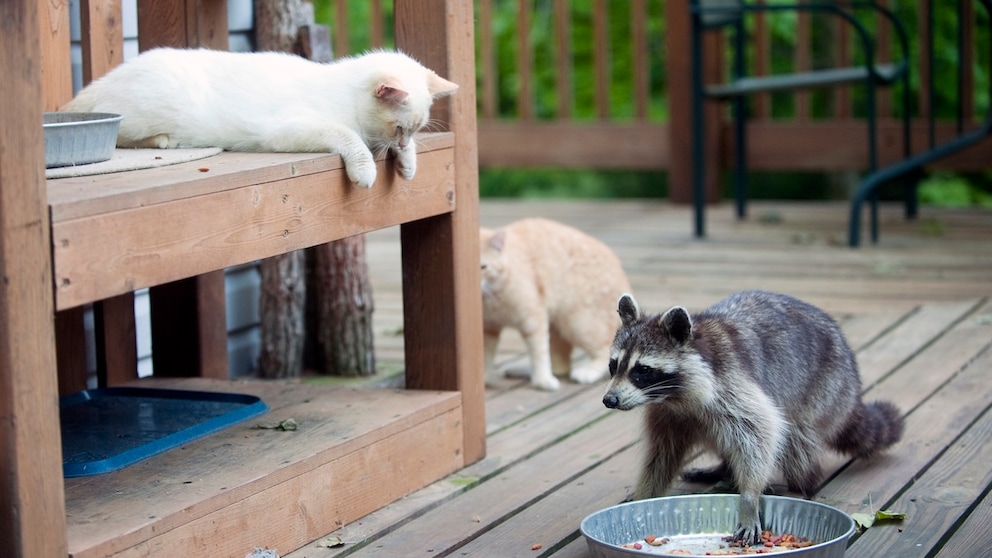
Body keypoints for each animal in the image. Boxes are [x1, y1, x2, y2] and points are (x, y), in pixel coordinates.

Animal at [64, 48, 460, 188]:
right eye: (399, 127)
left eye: (413, 130)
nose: (403, 141)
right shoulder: (290, 130)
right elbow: (349, 137)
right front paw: (366, 169)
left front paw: (408, 160)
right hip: (148, 112)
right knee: (121, 134)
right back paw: (164, 140)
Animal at [478, 220, 632, 394]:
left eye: (483, 267)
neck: (491, 298)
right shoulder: (489, 328)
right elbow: (486, 355)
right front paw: (485, 378)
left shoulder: (534, 320)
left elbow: (539, 353)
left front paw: (543, 381)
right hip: (558, 327)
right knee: (561, 364)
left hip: (578, 324)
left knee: (604, 351)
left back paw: (587, 372)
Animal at [604, 294, 908, 548]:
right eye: (613, 365)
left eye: (642, 370)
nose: (610, 400)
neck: (673, 395)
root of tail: (853, 387)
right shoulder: (667, 414)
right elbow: (661, 455)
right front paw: (646, 492)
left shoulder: (729, 384)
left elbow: (761, 430)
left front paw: (749, 498)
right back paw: (723, 469)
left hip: (826, 389)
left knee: (795, 437)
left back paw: (802, 485)